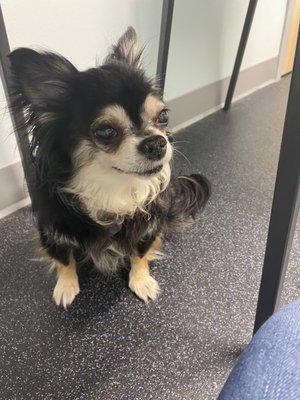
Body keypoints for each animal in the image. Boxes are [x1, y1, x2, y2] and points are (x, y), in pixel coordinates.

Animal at [9, 28, 211, 308]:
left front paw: (141, 280)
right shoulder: (53, 227)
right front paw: (66, 286)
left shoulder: (148, 225)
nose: (157, 142)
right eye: (105, 131)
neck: (114, 190)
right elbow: (63, 258)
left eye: (163, 116)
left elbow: (140, 252)